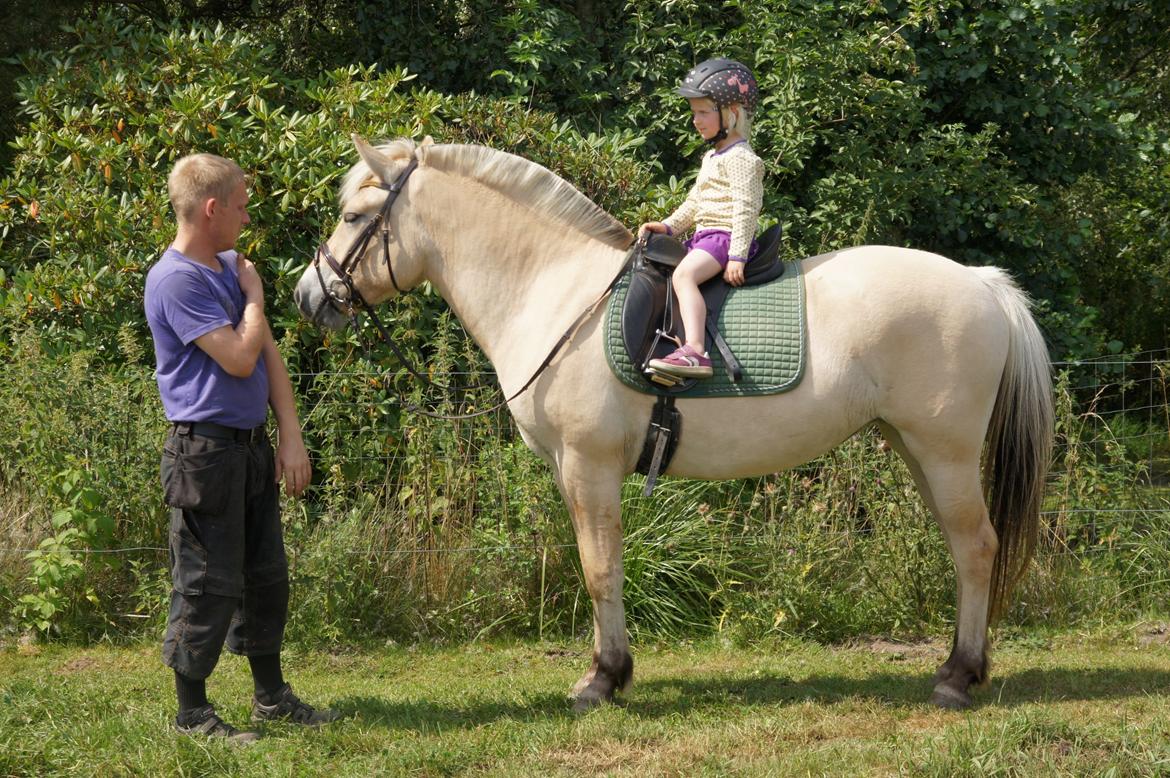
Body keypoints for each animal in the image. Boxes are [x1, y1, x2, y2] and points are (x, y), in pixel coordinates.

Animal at [292, 135, 1053, 711]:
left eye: (355, 216)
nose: (308, 296)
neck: (555, 291)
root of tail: (983, 284)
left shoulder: (589, 466)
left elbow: (601, 569)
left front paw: (603, 679)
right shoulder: (578, 471)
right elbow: (603, 566)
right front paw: (609, 671)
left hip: (944, 451)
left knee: (977, 548)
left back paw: (958, 678)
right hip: (917, 450)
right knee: (963, 548)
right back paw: (959, 666)